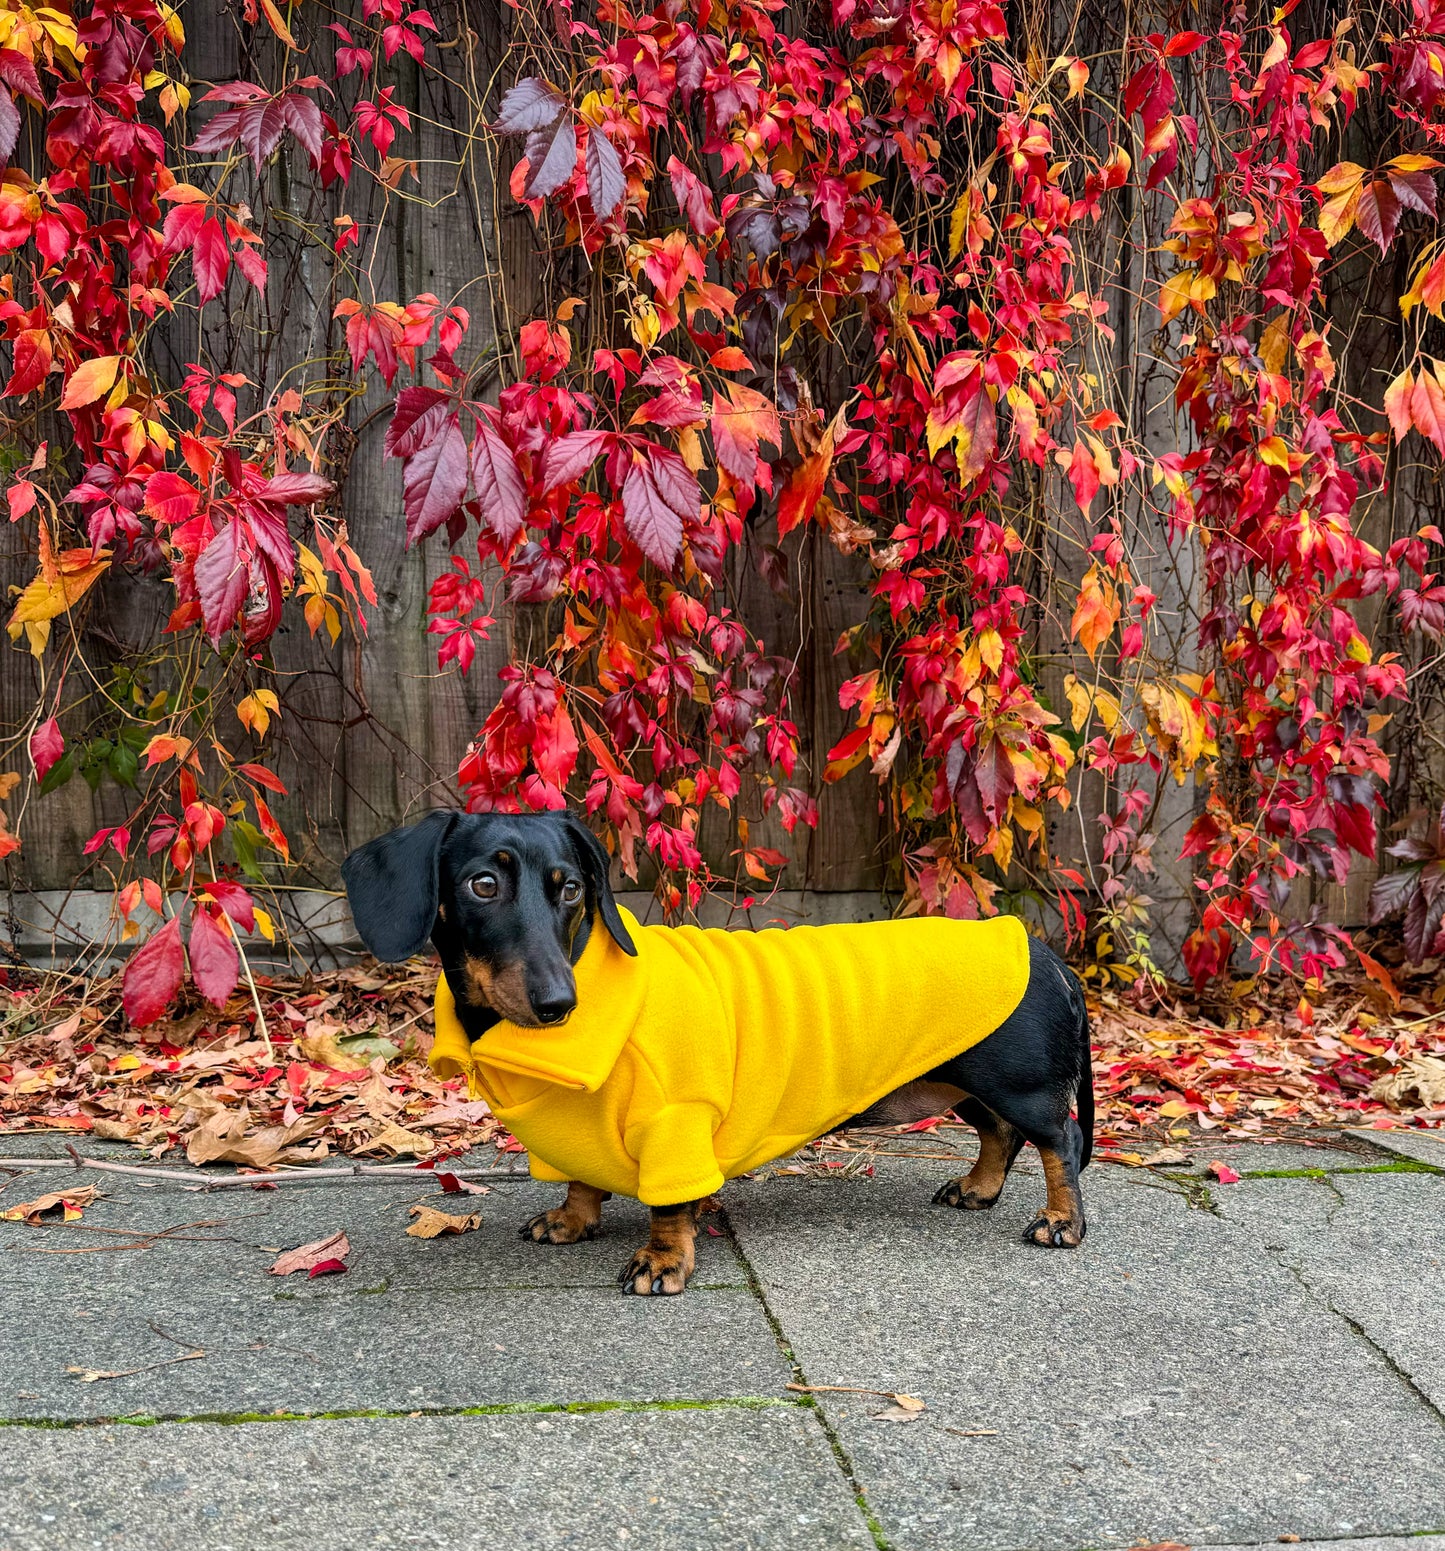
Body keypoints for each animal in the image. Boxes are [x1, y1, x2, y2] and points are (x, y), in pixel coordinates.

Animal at [344, 812, 1097, 1296]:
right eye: (483, 884)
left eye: (571, 887)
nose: (560, 1003)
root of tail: (1044, 952)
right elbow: (581, 1179)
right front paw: (570, 1220)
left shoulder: (674, 1123)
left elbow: (669, 1206)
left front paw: (660, 1262)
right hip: (966, 1085)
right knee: (1001, 1137)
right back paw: (977, 1188)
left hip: (1019, 1083)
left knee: (1056, 1140)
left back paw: (1061, 1221)